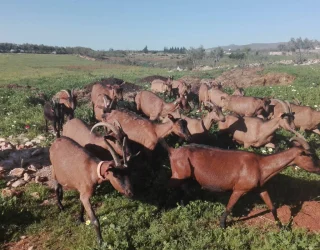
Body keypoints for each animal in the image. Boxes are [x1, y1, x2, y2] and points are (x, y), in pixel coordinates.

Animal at [160, 137, 320, 229]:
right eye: (311, 155)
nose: (319, 168)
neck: (260, 165)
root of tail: (173, 151)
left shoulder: (261, 188)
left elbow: (272, 207)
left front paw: (281, 226)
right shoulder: (239, 189)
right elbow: (229, 207)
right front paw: (222, 226)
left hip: (184, 176)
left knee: (182, 189)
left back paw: (181, 205)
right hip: (179, 174)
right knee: (166, 186)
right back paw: (161, 209)